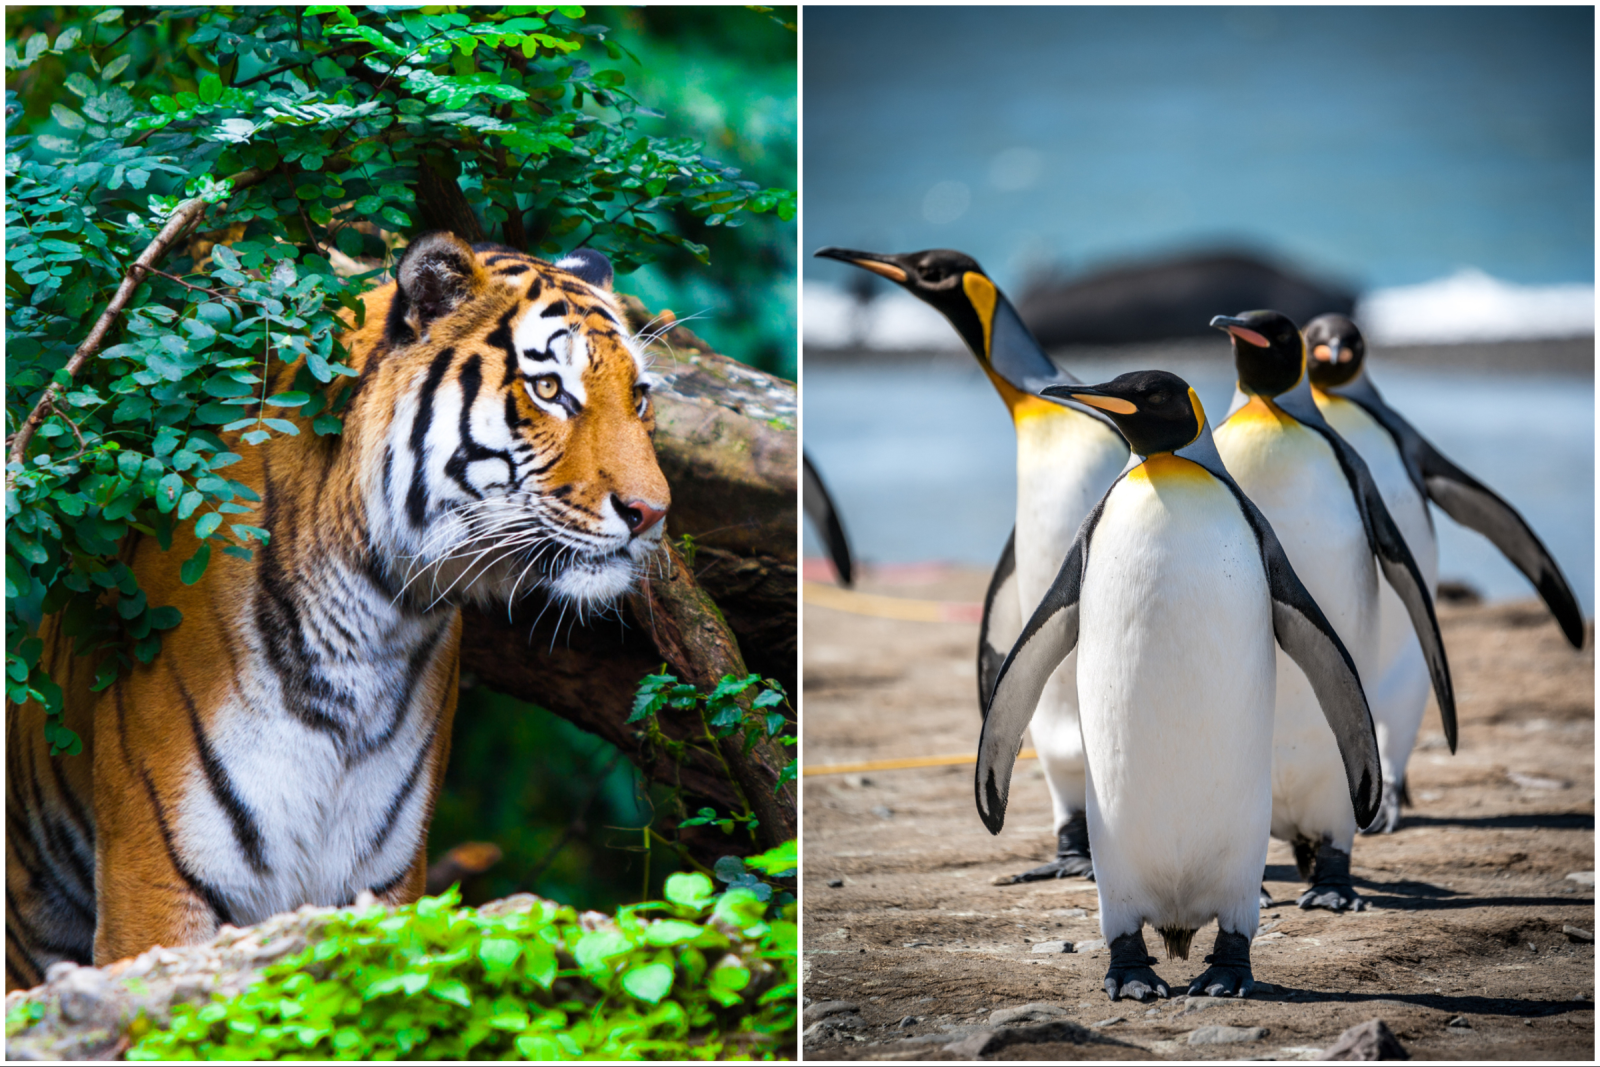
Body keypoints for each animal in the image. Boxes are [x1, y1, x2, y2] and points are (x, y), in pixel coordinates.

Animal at [5, 232, 672, 990]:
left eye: (639, 396)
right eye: (550, 389)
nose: (653, 513)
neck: (376, 617)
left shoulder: (381, 879)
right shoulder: (157, 882)